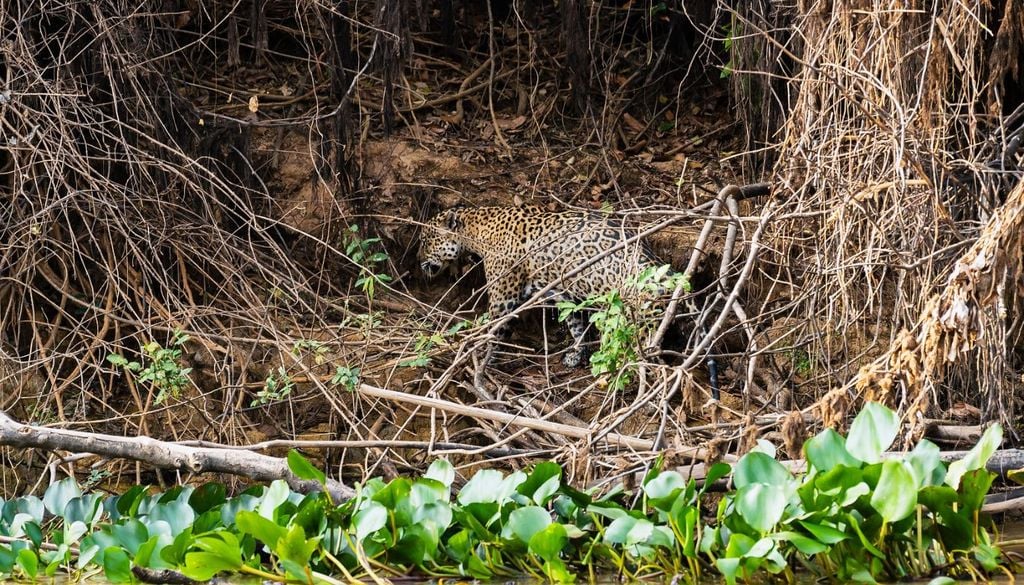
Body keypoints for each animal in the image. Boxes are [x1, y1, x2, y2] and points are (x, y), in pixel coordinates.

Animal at [418, 205, 676, 368]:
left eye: (424, 240)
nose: (418, 262)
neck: (478, 231)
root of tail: (659, 269)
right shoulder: (563, 295)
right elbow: (577, 325)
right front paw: (577, 355)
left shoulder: (503, 300)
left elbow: (494, 332)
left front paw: (481, 358)